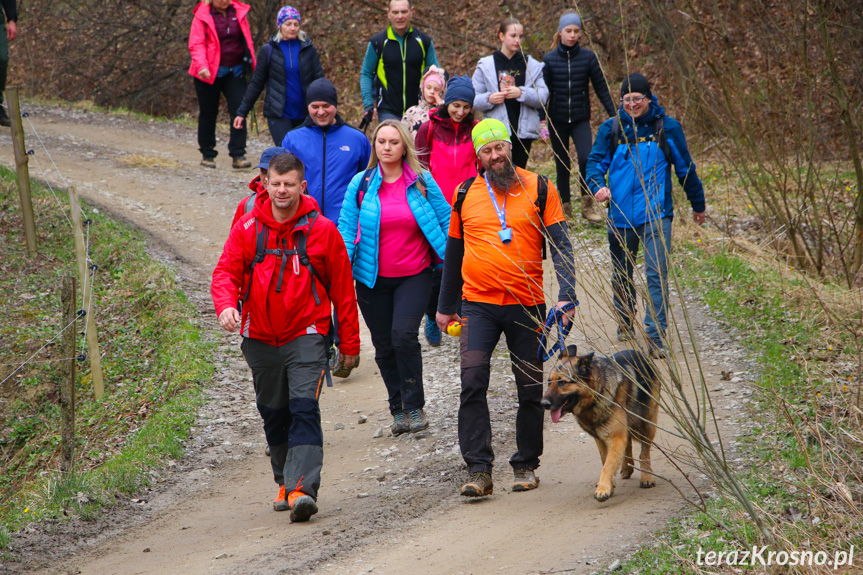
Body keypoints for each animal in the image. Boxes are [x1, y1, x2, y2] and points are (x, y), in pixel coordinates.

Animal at [540, 344, 660, 502]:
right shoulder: (601, 439)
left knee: (644, 452)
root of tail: (642, 356)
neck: (597, 394)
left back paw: (647, 476)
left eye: (562, 382)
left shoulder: (615, 437)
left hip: (647, 424)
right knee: (628, 444)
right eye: (549, 382)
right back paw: (627, 467)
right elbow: (606, 461)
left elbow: (608, 465)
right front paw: (609, 484)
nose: (543, 404)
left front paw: (603, 488)